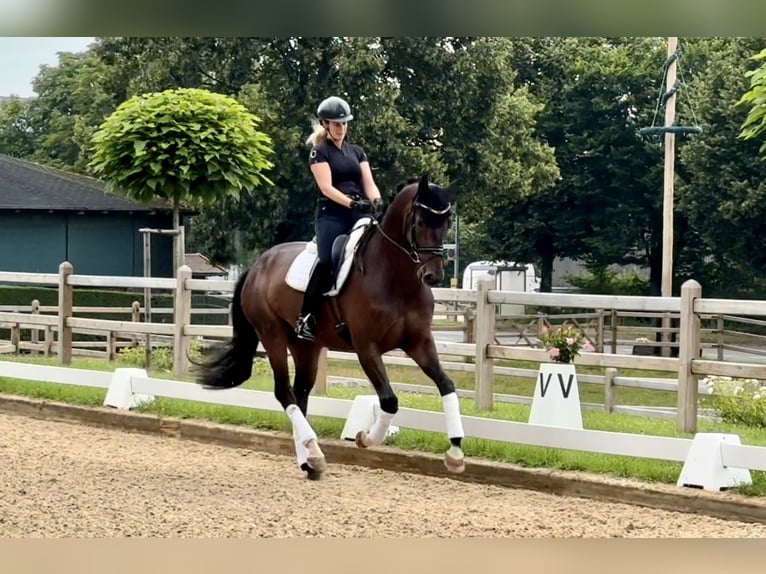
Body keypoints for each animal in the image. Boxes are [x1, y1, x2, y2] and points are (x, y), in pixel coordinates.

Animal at [194, 174, 468, 482]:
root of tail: (257, 265)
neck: (396, 278)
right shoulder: (366, 348)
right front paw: (365, 438)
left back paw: (309, 461)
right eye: (420, 222)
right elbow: (389, 400)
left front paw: (455, 453)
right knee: (284, 392)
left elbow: (446, 385)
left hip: (305, 345)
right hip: (272, 336)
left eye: (447, 223)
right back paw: (313, 452)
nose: (433, 275)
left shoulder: (419, 342)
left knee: (300, 393)